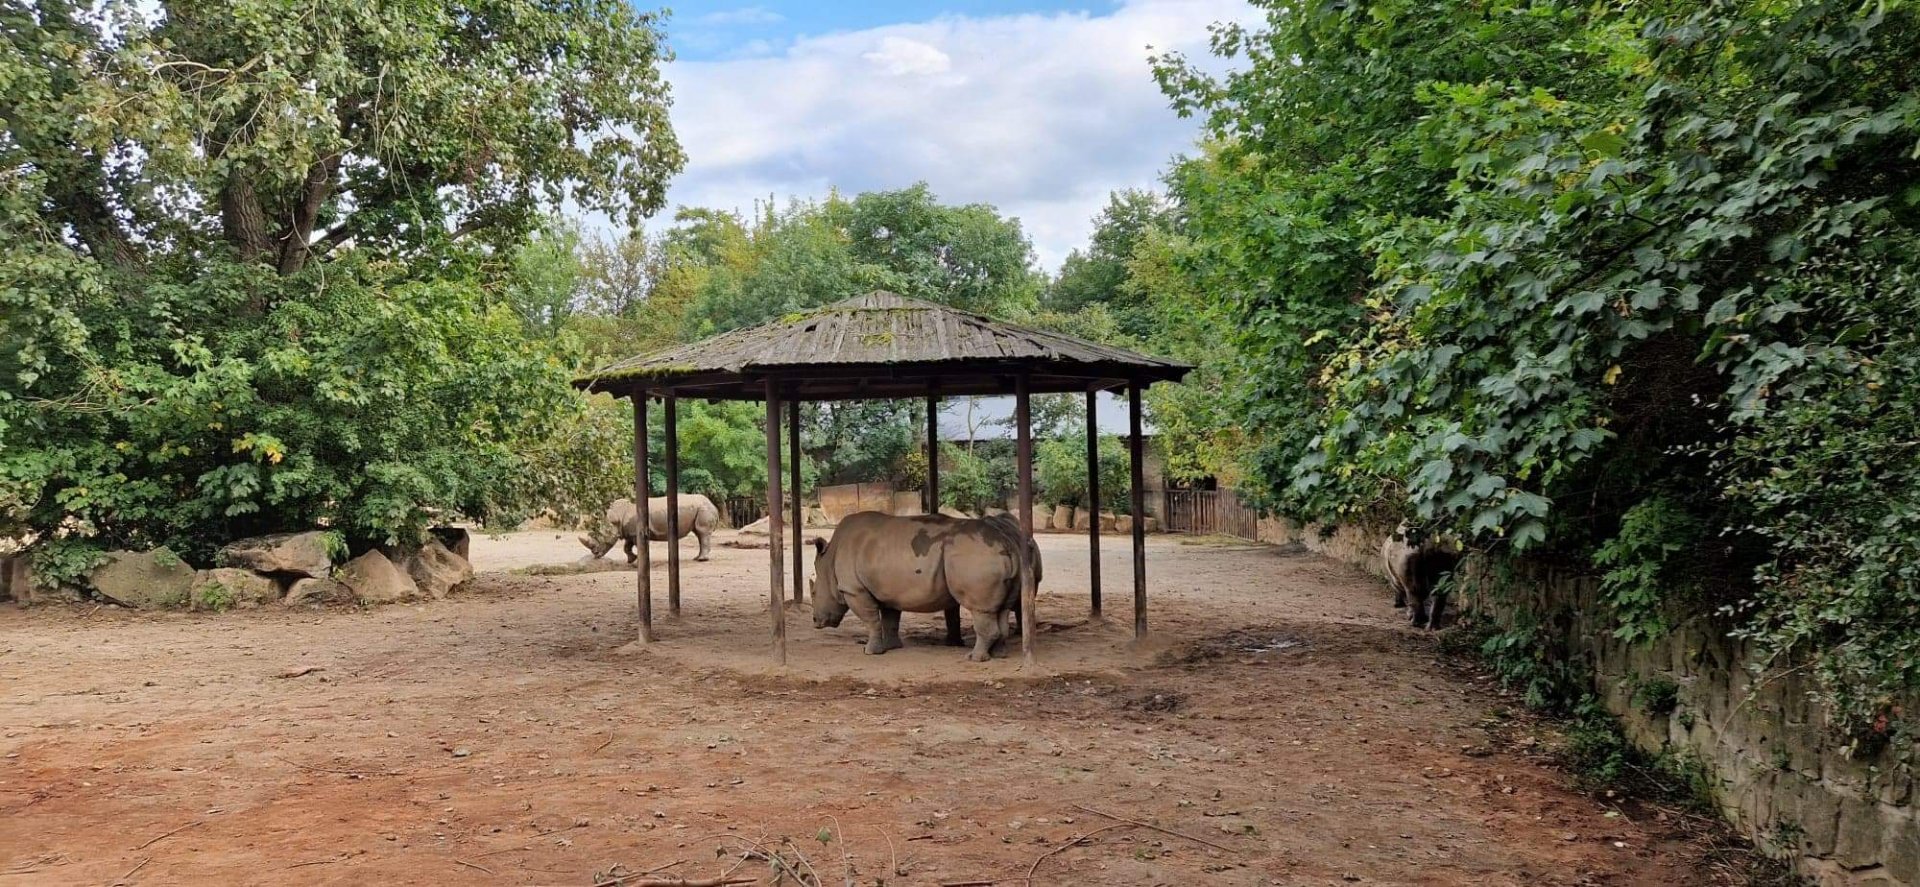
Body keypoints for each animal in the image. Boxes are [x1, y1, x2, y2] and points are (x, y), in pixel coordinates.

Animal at [579, 495, 720, 563]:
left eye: (600, 538)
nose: (595, 554)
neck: (617, 518)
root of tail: (714, 505)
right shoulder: (629, 532)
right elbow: (626, 547)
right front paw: (631, 560)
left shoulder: (635, 533)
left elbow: (637, 546)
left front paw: (639, 561)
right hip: (701, 509)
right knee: (698, 533)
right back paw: (697, 558)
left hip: (704, 509)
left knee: (702, 532)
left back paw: (701, 560)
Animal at [810, 511, 1038, 662]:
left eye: (813, 592)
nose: (815, 622)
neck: (829, 561)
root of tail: (1008, 545)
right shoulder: (888, 591)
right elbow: (890, 620)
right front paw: (891, 647)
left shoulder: (854, 590)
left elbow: (872, 621)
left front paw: (870, 652)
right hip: (999, 555)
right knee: (1002, 609)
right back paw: (999, 655)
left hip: (976, 557)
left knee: (981, 609)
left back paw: (974, 658)